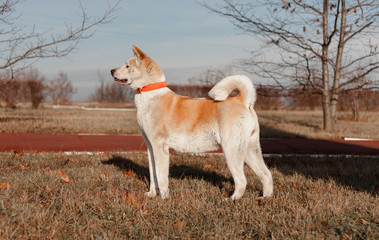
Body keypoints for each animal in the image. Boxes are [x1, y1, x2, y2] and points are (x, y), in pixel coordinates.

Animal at [110, 46, 274, 200]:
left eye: (127, 66)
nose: (111, 70)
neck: (149, 93)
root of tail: (243, 101)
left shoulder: (160, 147)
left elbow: (161, 177)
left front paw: (163, 198)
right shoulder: (150, 147)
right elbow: (153, 175)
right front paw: (151, 195)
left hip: (232, 150)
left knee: (241, 180)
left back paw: (231, 199)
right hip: (249, 149)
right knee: (266, 175)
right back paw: (264, 198)